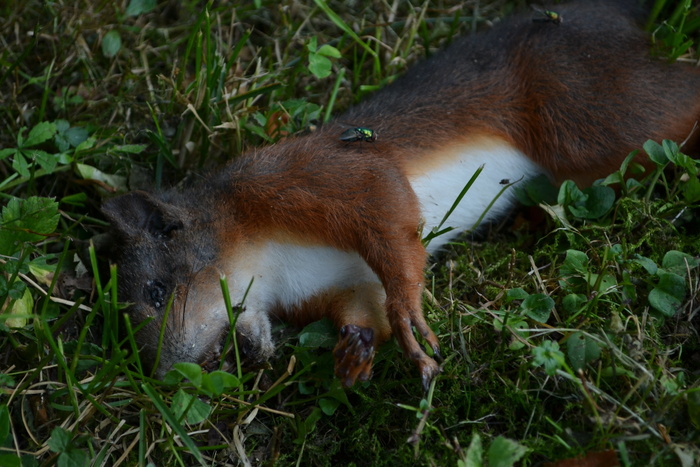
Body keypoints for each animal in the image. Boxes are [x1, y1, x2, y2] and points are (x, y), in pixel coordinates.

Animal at [102, 0, 700, 392]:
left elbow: (386, 210)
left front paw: (410, 314)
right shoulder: (336, 284)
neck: (266, 263)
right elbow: (365, 306)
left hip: (591, 113)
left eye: (156, 290)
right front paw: (354, 353)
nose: (165, 378)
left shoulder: (298, 177)